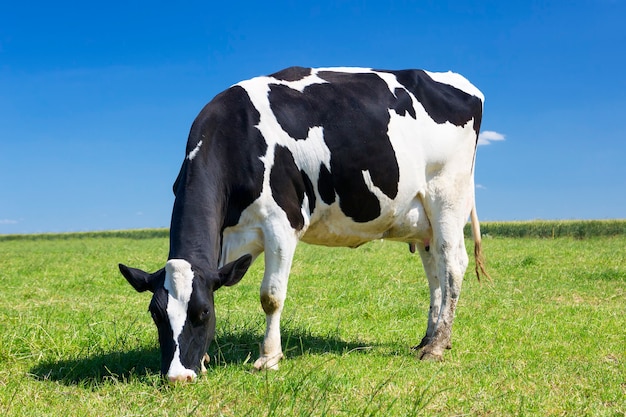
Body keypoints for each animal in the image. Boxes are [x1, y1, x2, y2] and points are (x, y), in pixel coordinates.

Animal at [117, 66, 488, 382]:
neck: (237, 136)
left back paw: (436, 347)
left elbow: (270, 296)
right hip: (422, 218)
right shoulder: (225, 240)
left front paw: (268, 358)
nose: (178, 376)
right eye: (155, 313)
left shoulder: (282, 224)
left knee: (453, 264)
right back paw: (428, 338)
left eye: (203, 312)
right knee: (434, 272)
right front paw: (207, 358)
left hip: (448, 196)